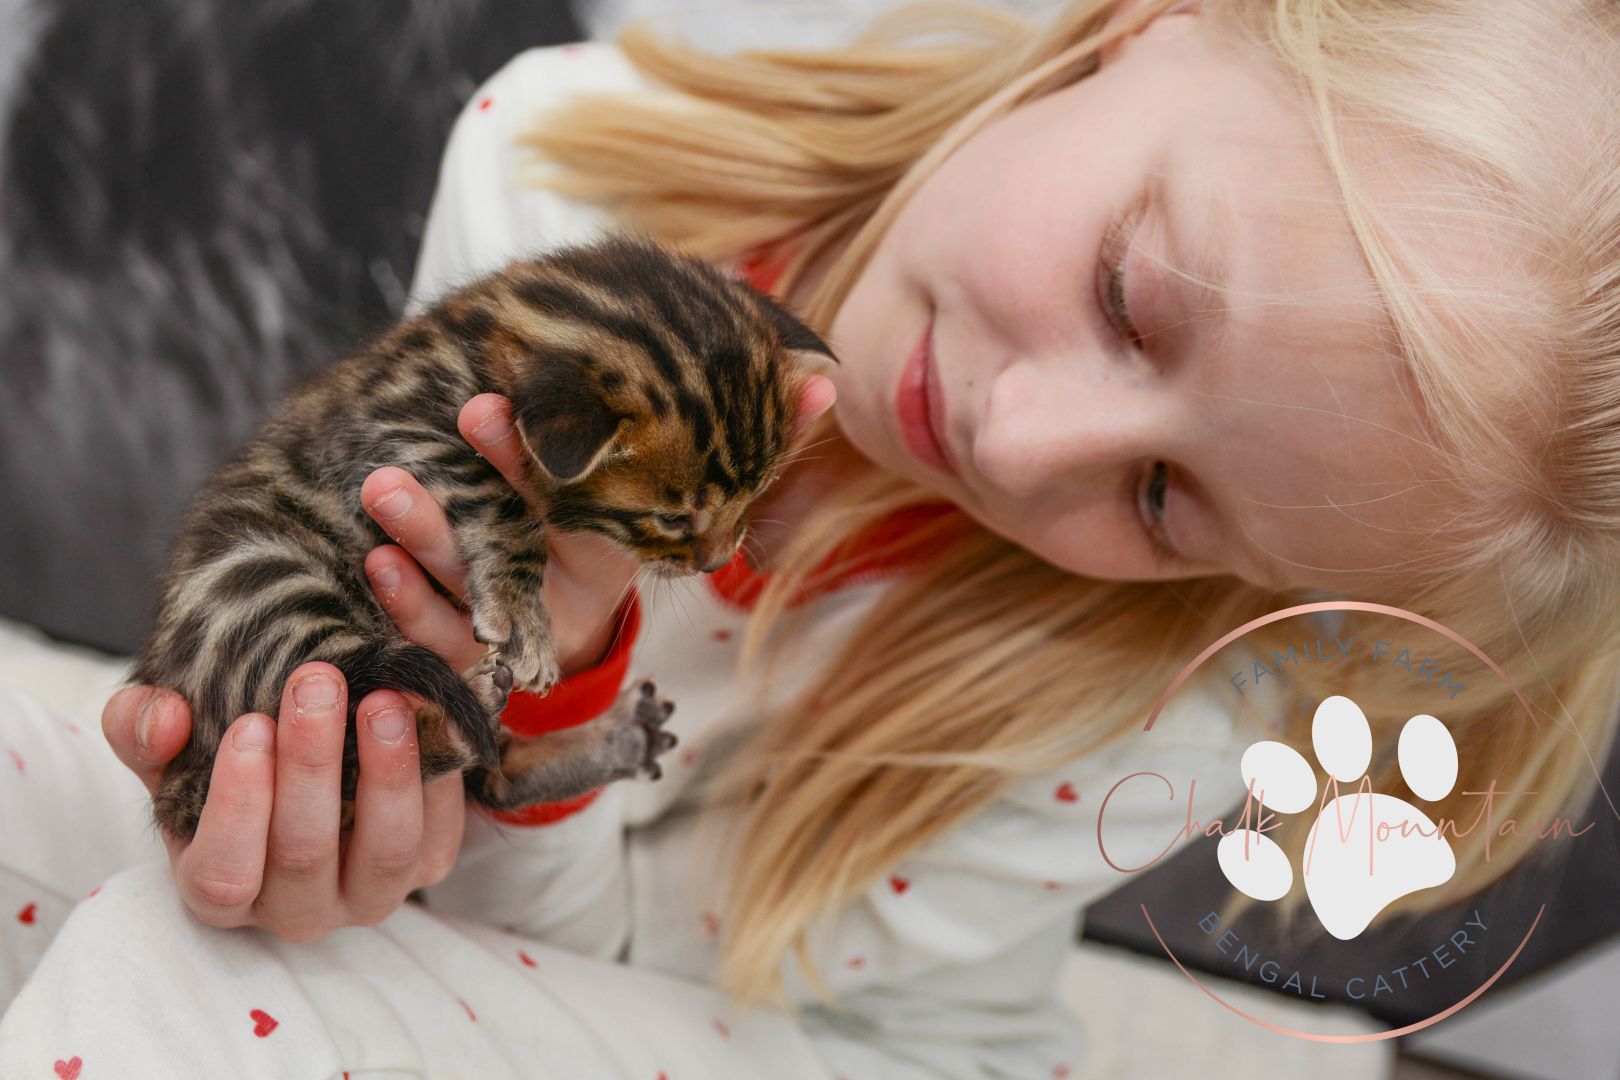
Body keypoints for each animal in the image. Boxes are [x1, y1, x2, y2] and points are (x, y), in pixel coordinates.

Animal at [132, 236, 835, 841]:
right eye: (672, 520)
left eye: (757, 495)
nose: (716, 562)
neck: (488, 332)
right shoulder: (397, 429)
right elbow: (503, 502)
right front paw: (524, 619)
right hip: (269, 581)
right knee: (354, 739)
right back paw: (456, 721)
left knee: (491, 779)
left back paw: (615, 738)